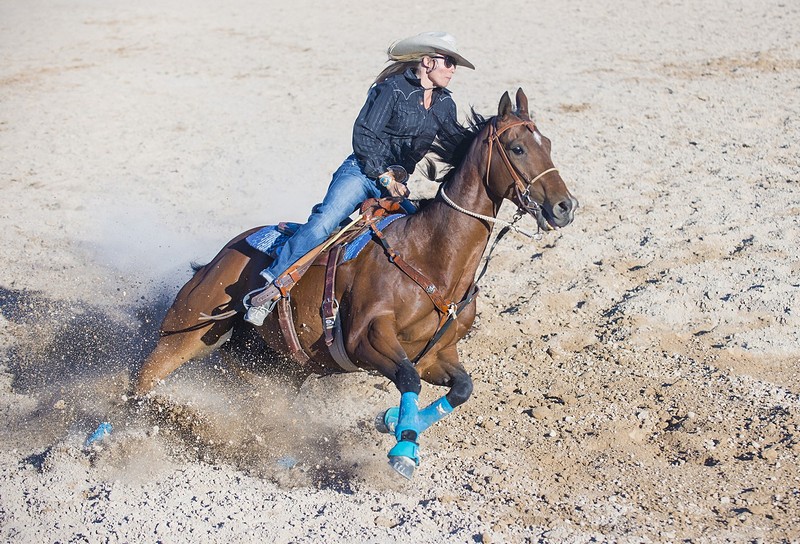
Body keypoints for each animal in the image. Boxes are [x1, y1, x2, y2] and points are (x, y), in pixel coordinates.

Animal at [134, 89, 580, 480]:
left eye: (548, 143)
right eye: (518, 148)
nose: (565, 207)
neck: (431, 257)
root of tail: (224, 253)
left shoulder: (437, 354)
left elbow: (462, 388)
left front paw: (395, 421)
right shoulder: (365, 339)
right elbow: (408, 379)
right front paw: (403, 450)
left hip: (274, 369)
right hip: (186, 331)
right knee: (142, 383)